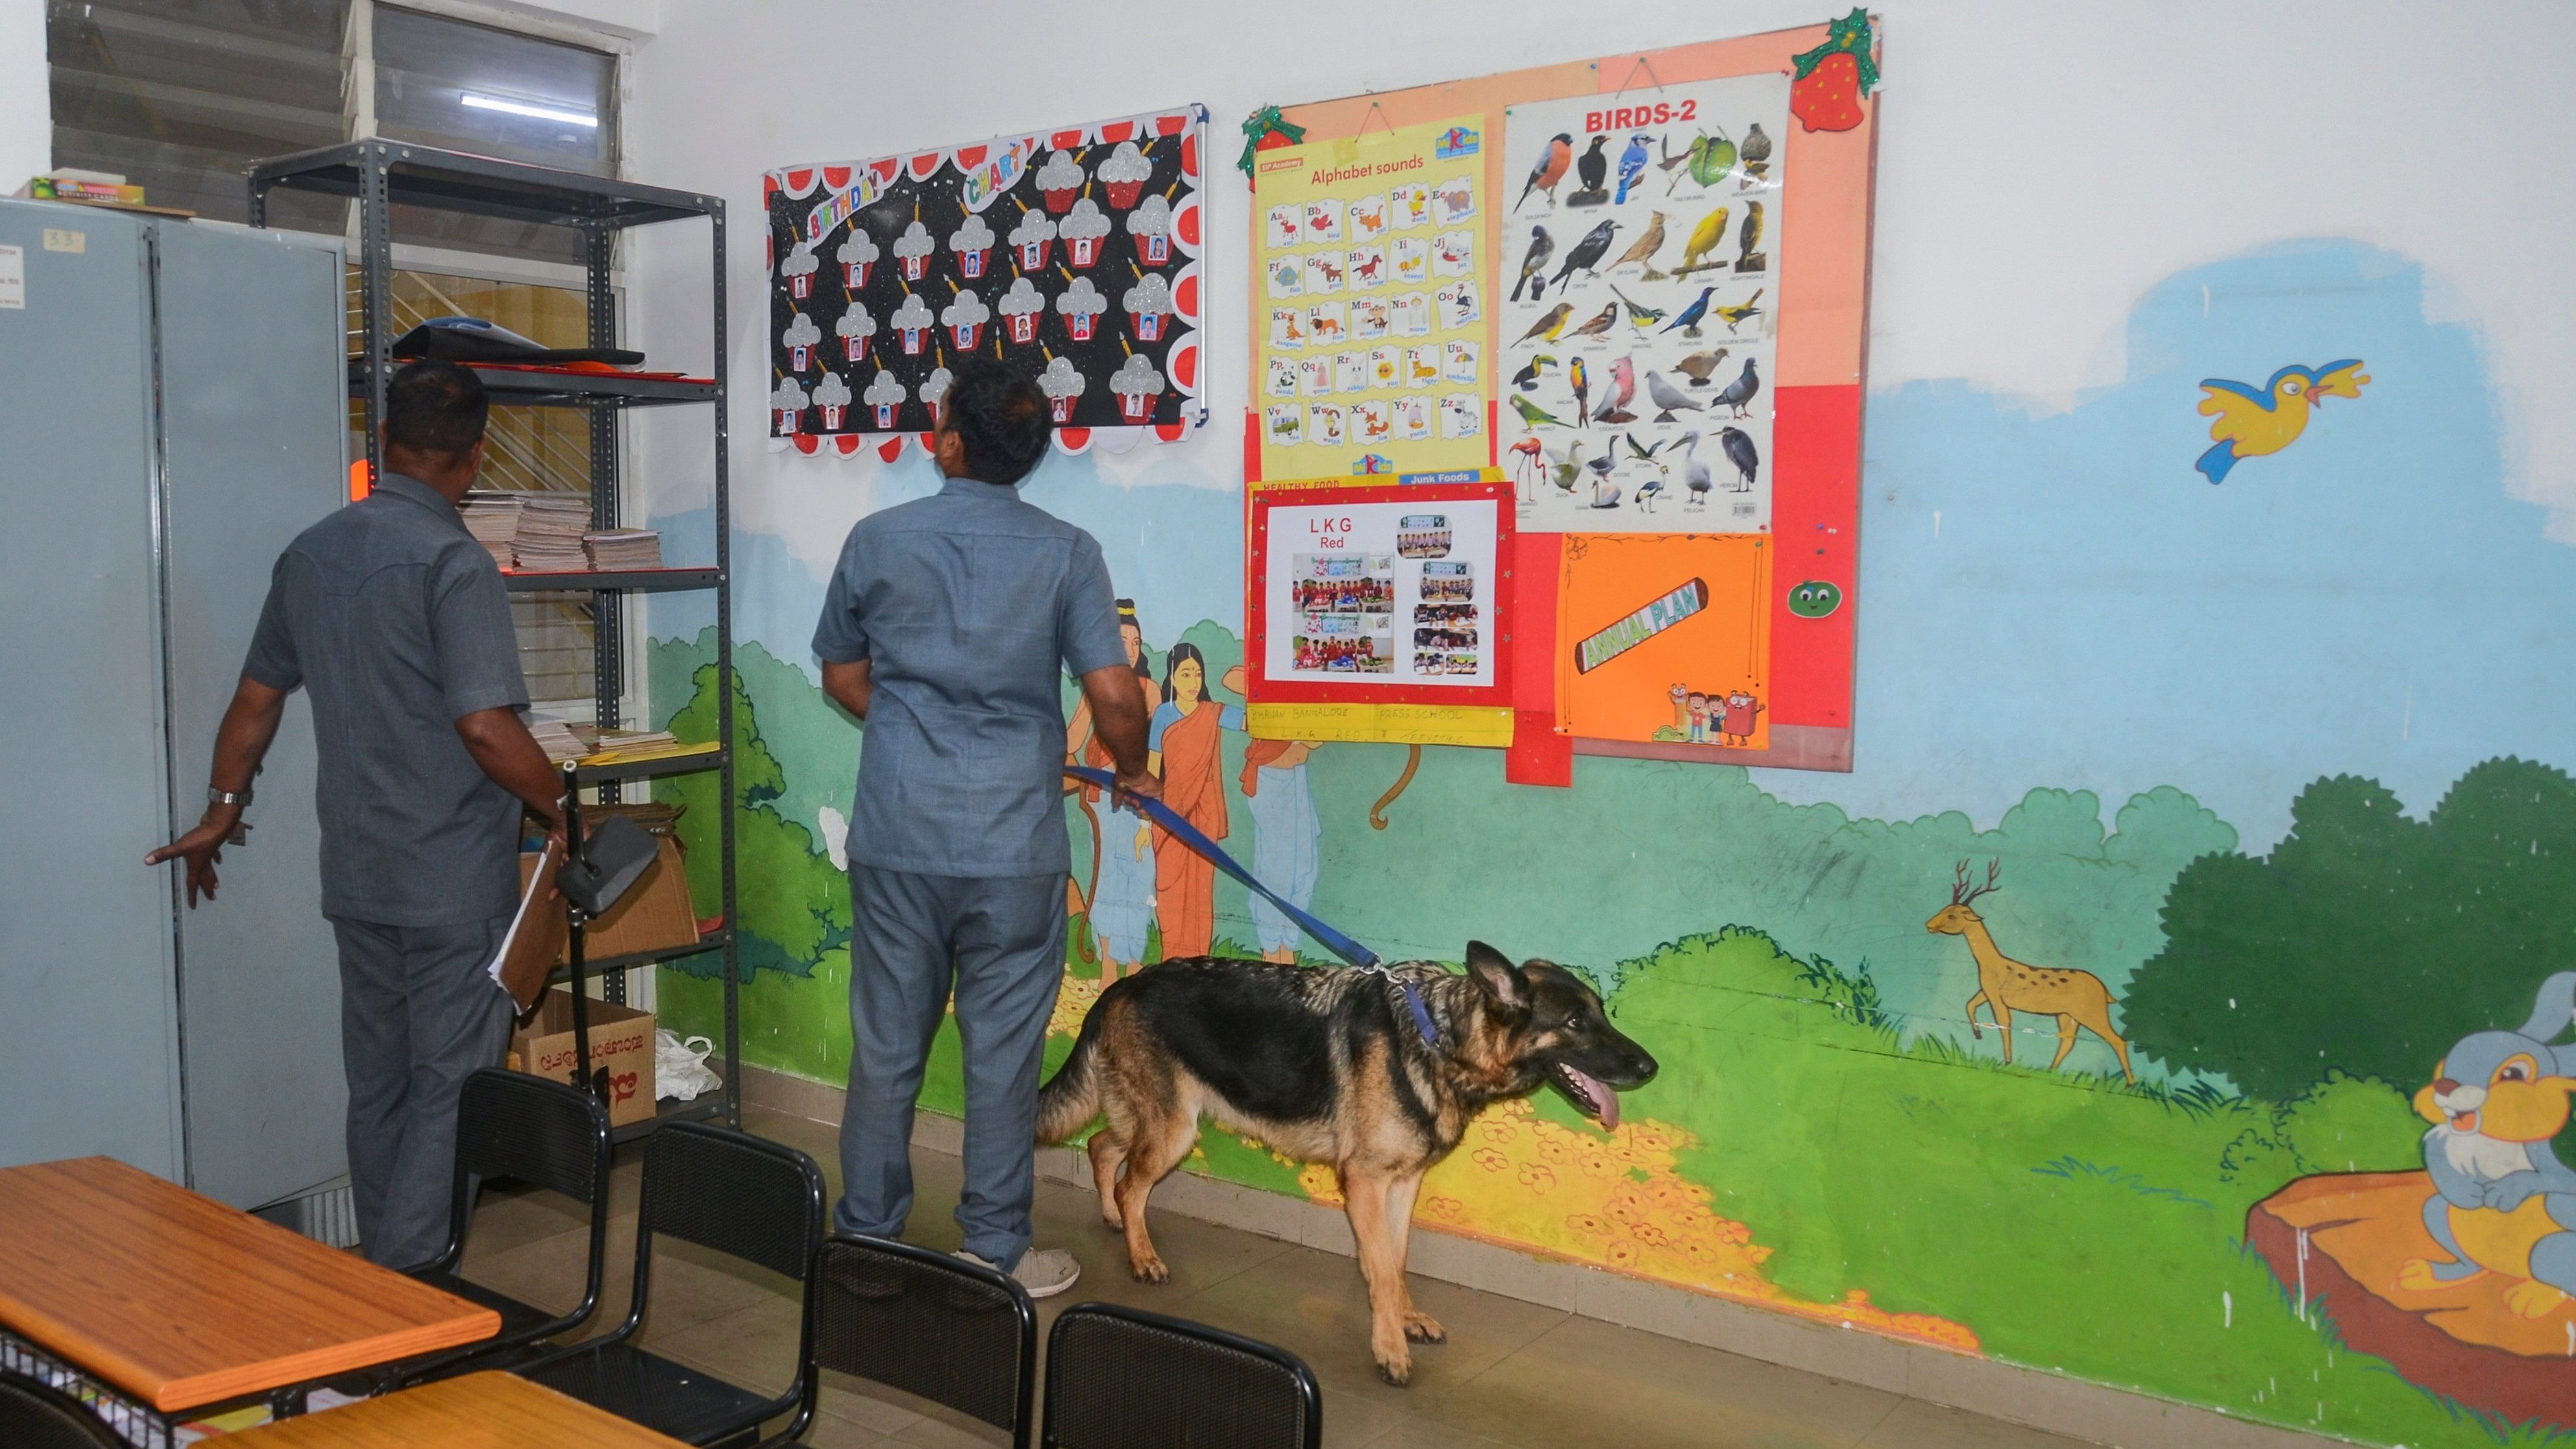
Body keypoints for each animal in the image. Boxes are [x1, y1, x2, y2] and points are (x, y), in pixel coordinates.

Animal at [1035, 942, 1659, 1379]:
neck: (1439, 1038)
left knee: (1102, 1148)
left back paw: (1117, 1223)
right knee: (1131, 1183)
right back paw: (1141, 1256)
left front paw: (1405, 1319)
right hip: (1173, 1130)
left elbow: (1396, 1260)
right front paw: (1390, 1348)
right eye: (1575, 1022)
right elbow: (1380, 1268)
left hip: (1158, 1123)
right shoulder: (1363, 1182)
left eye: (1601, 1013)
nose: (1650, 1068)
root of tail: (1124, 983)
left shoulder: (1404, 1183)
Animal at [1926, 854, 2143, 1080]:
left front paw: (2007, 1062)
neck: (1990, 964)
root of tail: (2105, 991)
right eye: (1944, 908)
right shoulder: (1985, 991)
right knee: (2068, 1039)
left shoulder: (1997, 996)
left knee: (2117, 1039)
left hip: (2092, 1012)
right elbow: (1969, 1005)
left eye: (1952, 915)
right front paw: (1978, 1035)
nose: (1929, 925)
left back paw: (2130, 1083)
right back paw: (2050, 1071)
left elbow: (2004, 1023)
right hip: (2067, 1015)